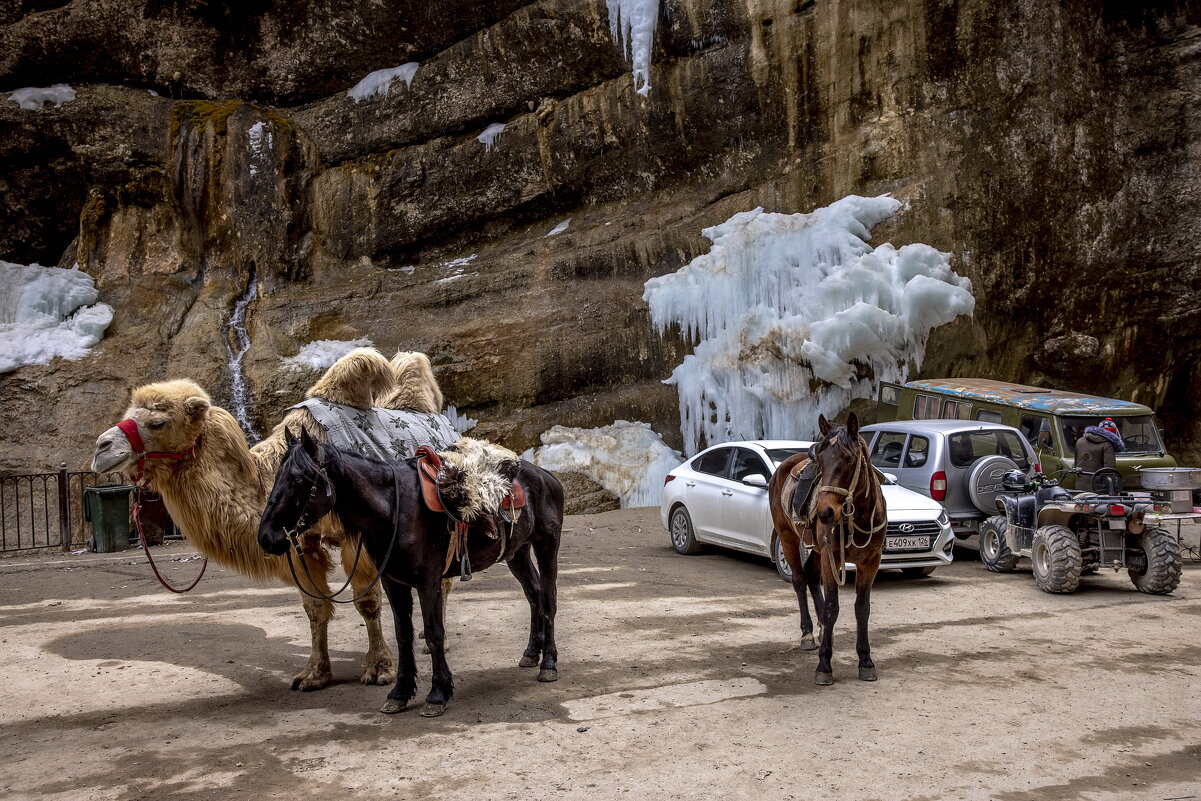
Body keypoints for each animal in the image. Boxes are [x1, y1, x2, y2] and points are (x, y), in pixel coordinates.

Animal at [257, 429, 562, 715]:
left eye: (298, 480)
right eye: (277, 477)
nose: (266, 537)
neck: (393, 509)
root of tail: (547, 477)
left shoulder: (428, 581)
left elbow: (434, 633)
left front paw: (438, 694)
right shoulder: (393, 581)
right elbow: (403, 634)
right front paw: (400, 693)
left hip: (547, 545)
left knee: (548, 600)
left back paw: (548, 664)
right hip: (517, 553)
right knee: (533, 594)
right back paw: (531, 653)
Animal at [768, 413, 883, 682]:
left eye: (849, 458)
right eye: (821, 460)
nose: (825, 512)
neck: (858, 517)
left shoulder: (871, 561)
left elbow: (862, 608)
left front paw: (866, 661)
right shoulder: (834, 558)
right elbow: (833, 607)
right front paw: (824, 665)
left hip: (818, 551)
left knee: (810, 576)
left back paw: (821, 631)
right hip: (788, 538)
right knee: (800, 580)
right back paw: (809, 633)